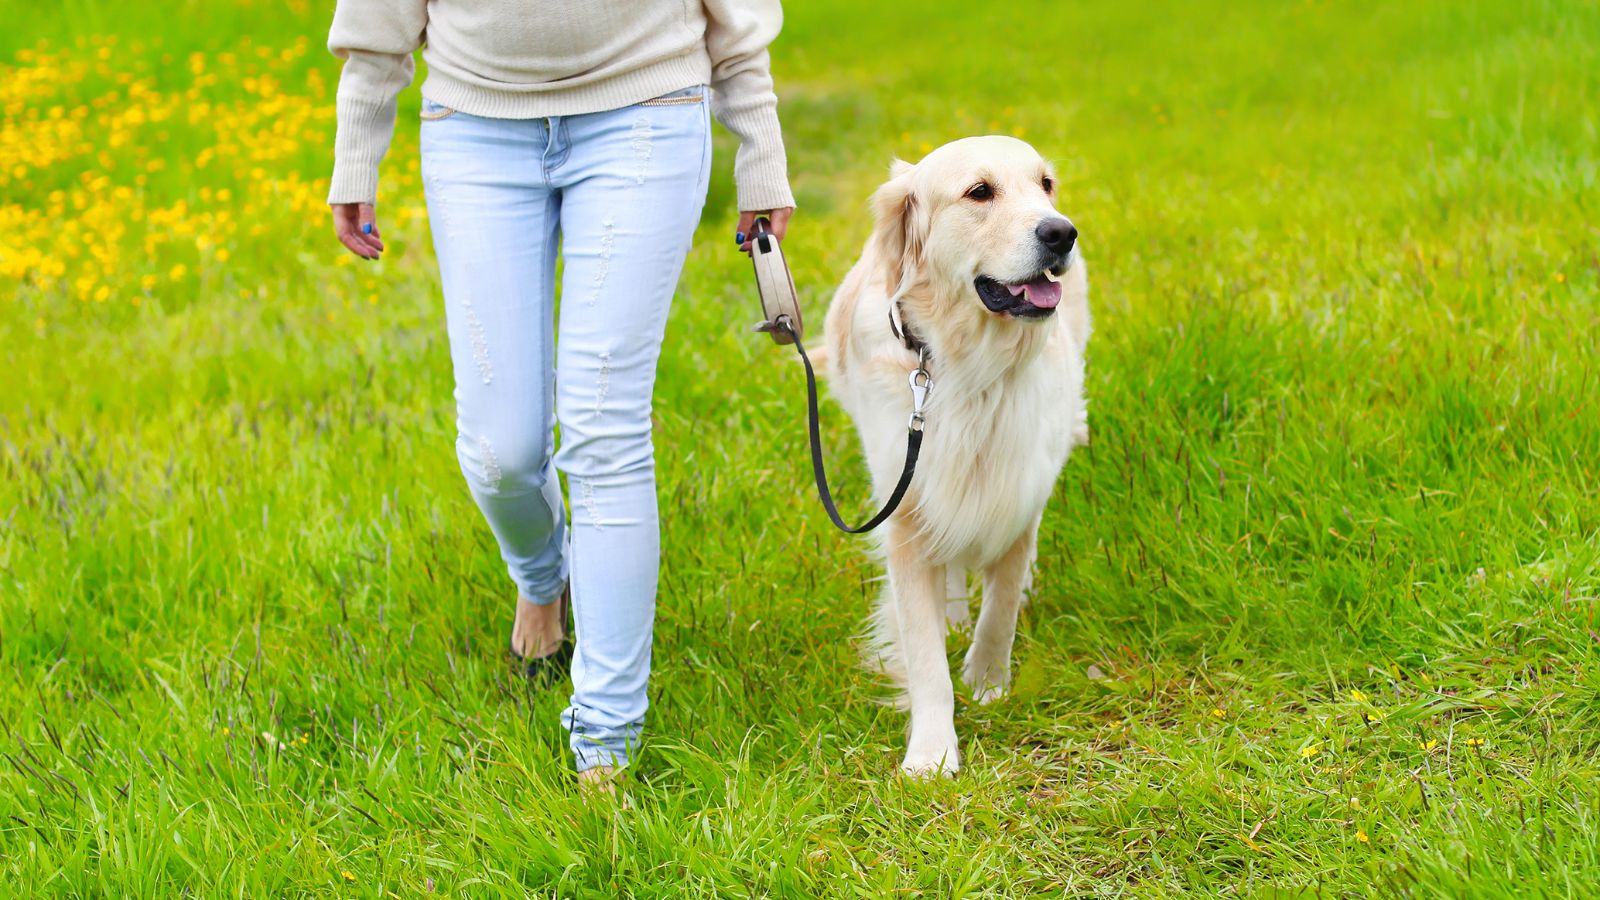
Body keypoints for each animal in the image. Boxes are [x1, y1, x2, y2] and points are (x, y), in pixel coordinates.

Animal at [819, 132, 1094, 771]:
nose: (1061, 232)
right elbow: (924, 656)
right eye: (979, 192)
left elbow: (1002, 608)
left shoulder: (1017, 492)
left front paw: (989, 683)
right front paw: (931, 754)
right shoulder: (907, 509)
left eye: (1045, 184)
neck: (972, 369)